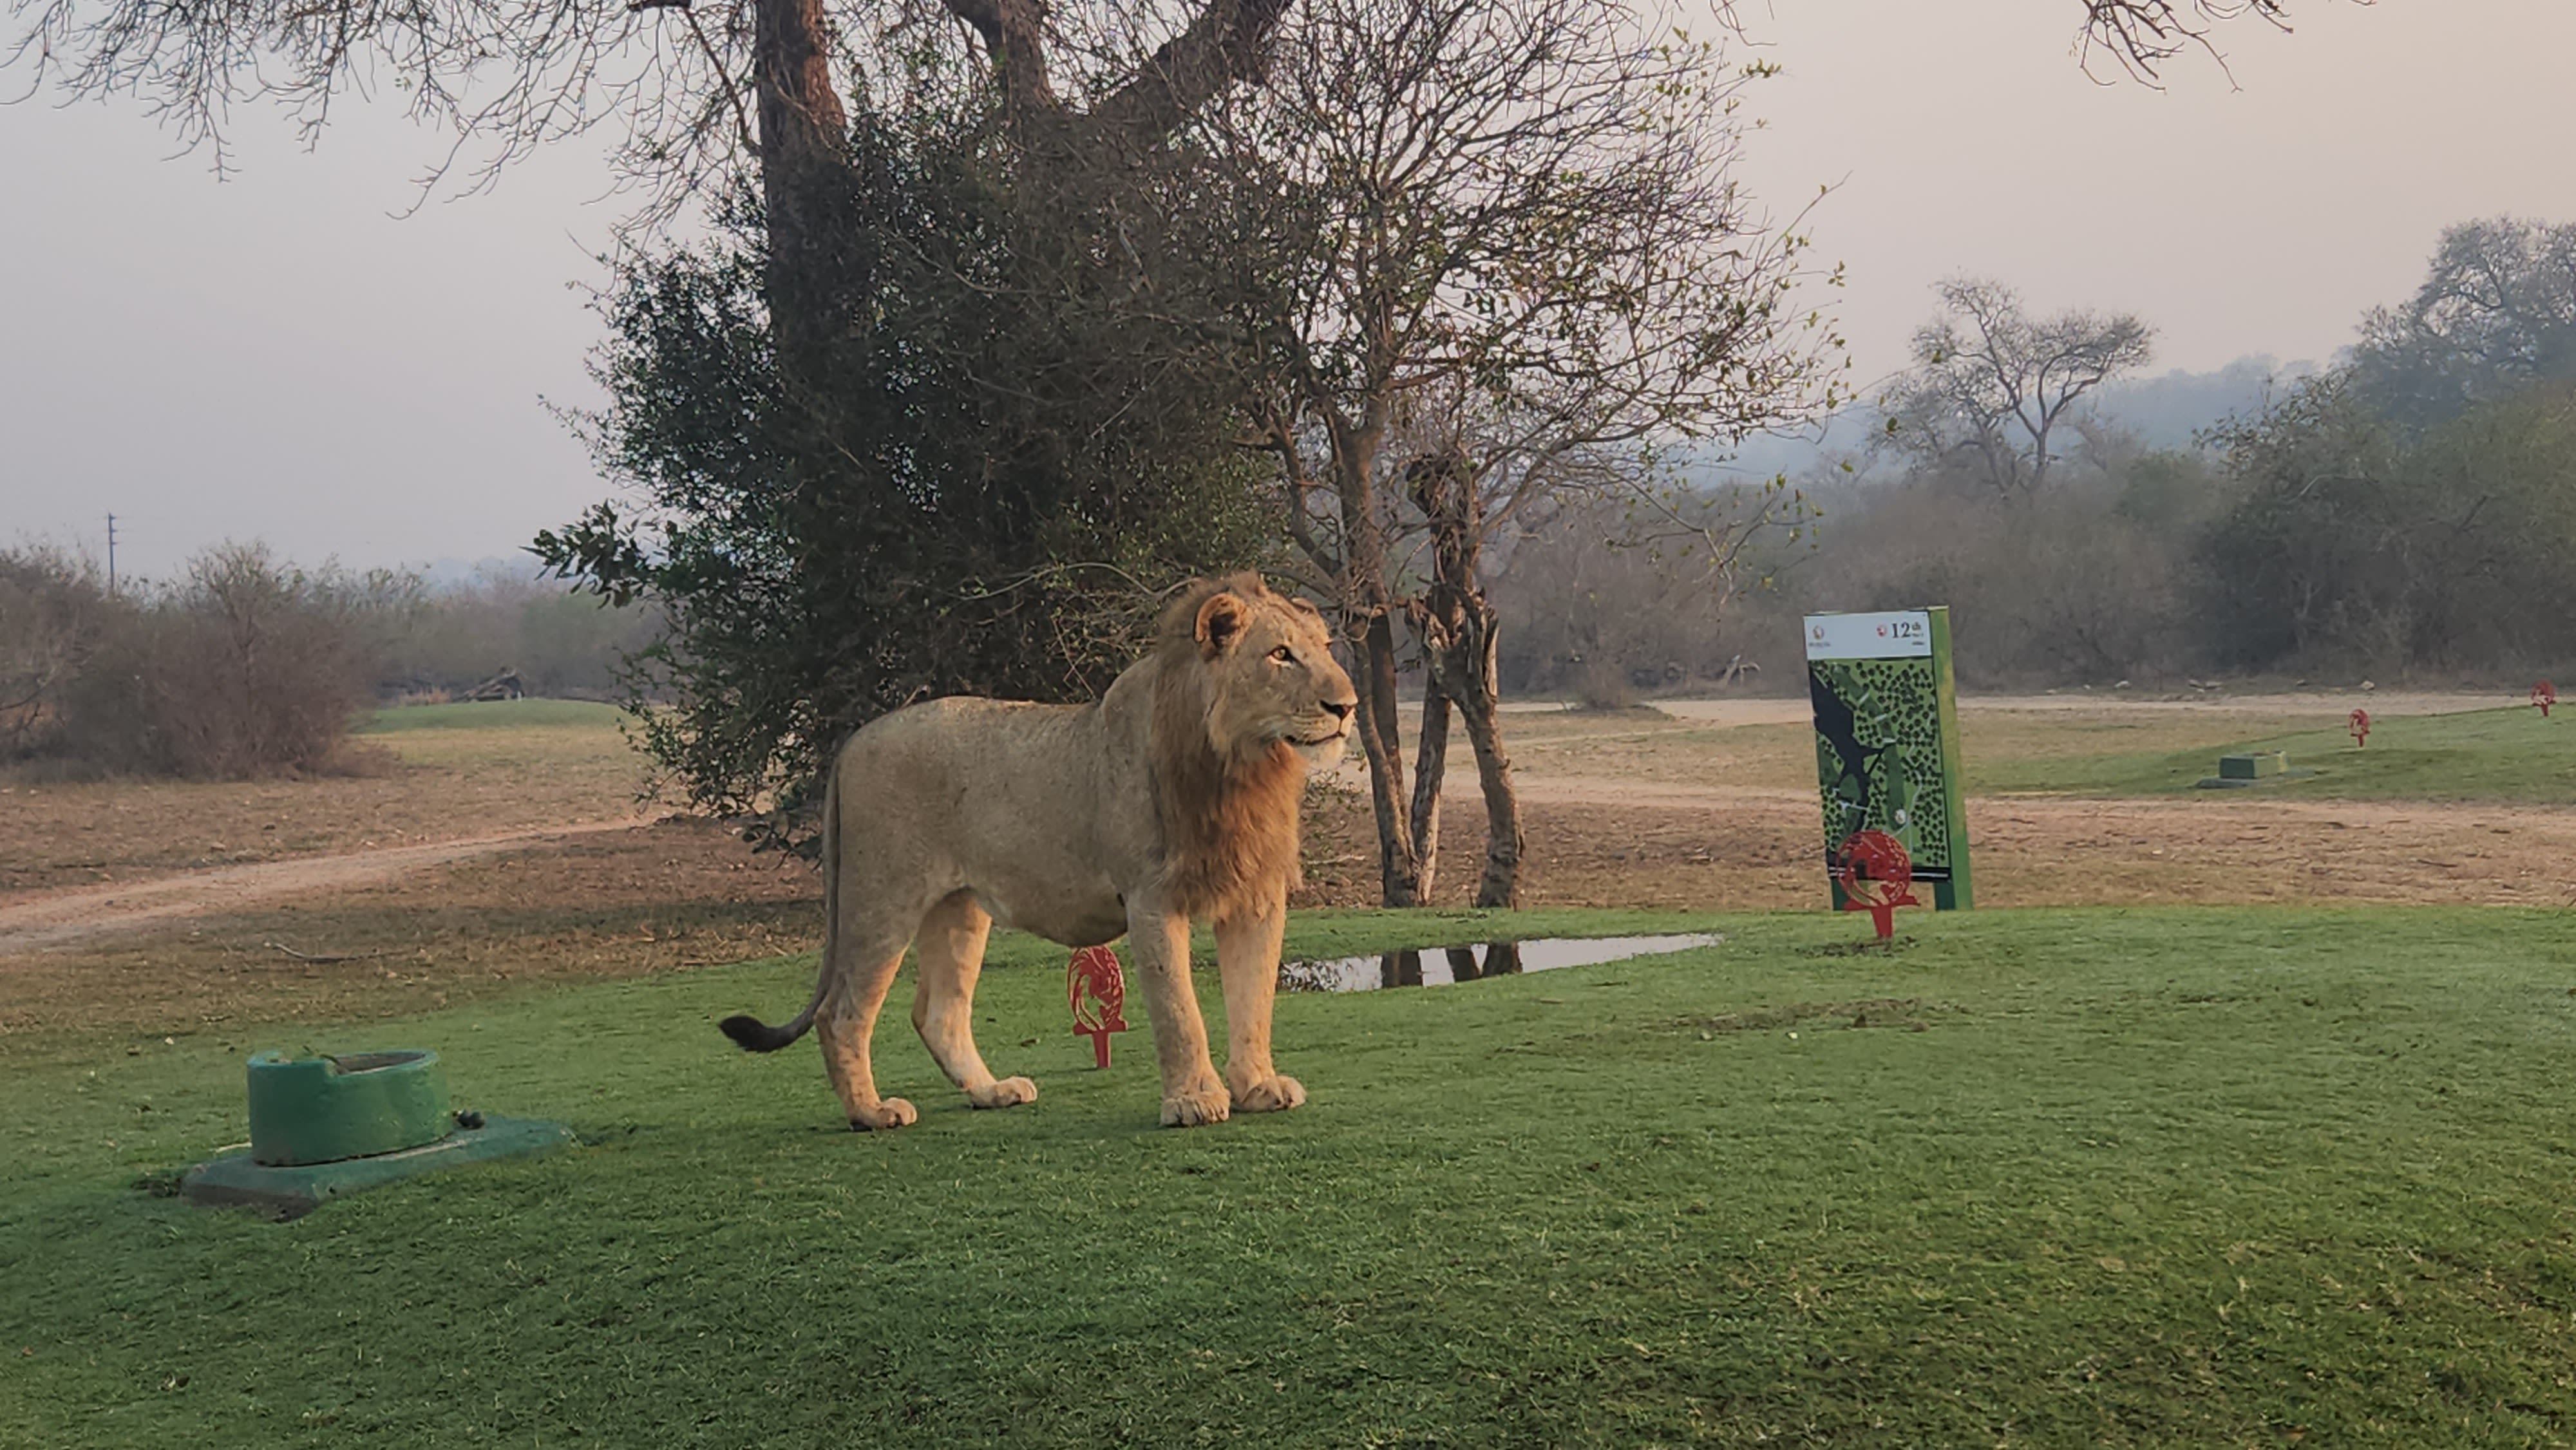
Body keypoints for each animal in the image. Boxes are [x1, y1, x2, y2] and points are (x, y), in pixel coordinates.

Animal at [721, 574, 1360, 1128]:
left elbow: (1254, 1002)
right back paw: (872, 1114)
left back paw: (991, 1092)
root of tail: (853, 742)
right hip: (882, 899)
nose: (1347, 706)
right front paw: (1194, 1101)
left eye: (1326, 649)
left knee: (938, 1013)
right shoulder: (1151, 898)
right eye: (1280, 655)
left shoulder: (1257, 896)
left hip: (958, 909)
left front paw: (1258, 1087)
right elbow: (1180, 1011)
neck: (1243, 767)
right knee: (842, 1012)